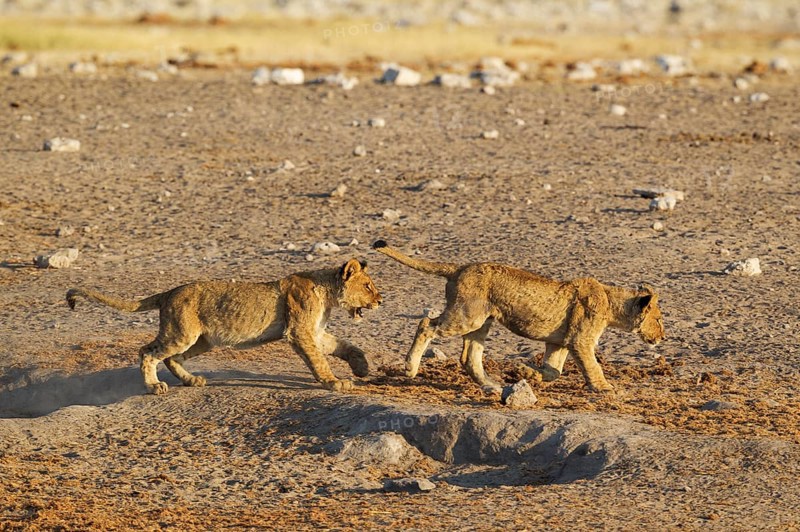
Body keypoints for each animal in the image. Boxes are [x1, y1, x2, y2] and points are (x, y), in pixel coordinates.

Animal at [66, 258, 382, 395]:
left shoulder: (315, 331)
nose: (381, 300)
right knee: (148, 352)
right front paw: (333, 382)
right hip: (182, 333)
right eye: (368, 286)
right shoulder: (299, 332)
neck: (327, 291)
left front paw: (362, 368)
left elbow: (346, 346)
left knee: (170, 358)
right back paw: (155, 386)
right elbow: (318, 360)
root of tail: (170, 292)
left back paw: (191, 380)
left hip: (201, 340)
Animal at [372, 240, 664, 394]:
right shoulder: (580, 341)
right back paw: (410, 368)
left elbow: (554, 371)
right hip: (467, 317)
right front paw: (604, 388)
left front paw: (526, 373)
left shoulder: (559, 342)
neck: (611, 301)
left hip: (481, 321)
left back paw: (490, 385)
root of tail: (459, 267)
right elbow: (592, 367)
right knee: (426, 325)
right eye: (660, 319)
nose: (662, 336)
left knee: (469, 357)